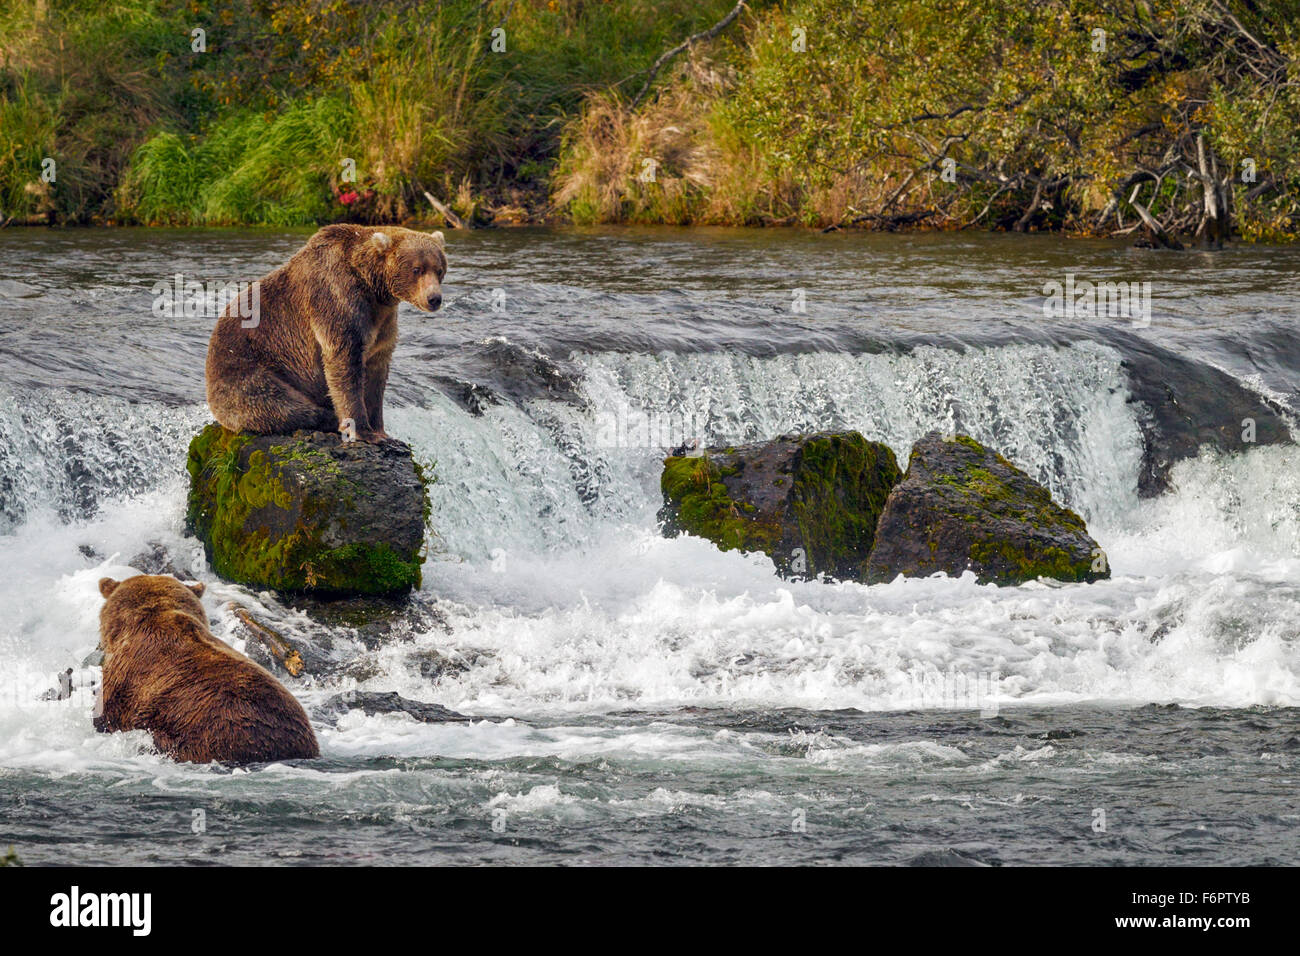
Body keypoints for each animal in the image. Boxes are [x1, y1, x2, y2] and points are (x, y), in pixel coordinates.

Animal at [204, 225, 447, 444]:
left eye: (439, 269)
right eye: (417, 269)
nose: (434, 298)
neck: (374, 288)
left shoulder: (382, 321)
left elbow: (376, 373)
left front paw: (382, 431)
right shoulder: (337, 299)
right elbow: (344, 364)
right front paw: (364, 431)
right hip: (248, 369)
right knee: (279, 404)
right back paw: (328, 418)